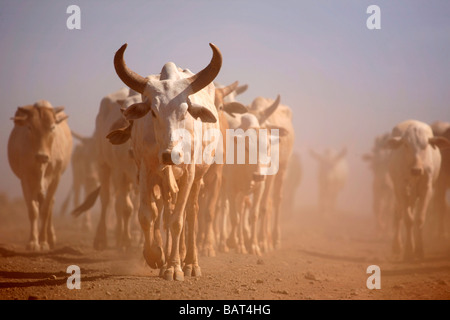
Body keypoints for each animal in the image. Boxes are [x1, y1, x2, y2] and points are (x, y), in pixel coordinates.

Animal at [7, 100, 72, 250]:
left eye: (52, 127)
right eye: (30, 127)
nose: (42, 156)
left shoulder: (56, 178)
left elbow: (46, 209)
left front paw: (43, 242)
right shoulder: (25, 179)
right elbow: (33, 210)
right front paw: (33, 241)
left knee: (50, 203)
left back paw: (51, 237)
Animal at [108, 43, 222, 280]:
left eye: (185, 111)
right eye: (153, 111)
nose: (171, 155)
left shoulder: (188, 173)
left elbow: (177, 221)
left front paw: (173, 267)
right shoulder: (146, 171)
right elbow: (147, 214)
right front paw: (155, 256)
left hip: (198, 177)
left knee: (191, 212)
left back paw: (190, 263)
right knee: (165, 211)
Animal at [386, 120, 450, 260]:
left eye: (425, 145)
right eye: (406, 145)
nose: (416, 170)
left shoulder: (427, 190)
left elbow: (419, 218)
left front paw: (419, 250)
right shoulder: (401, 189)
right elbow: (408, 219)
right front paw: (409, 250)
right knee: (398, 213)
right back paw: (396, 246)